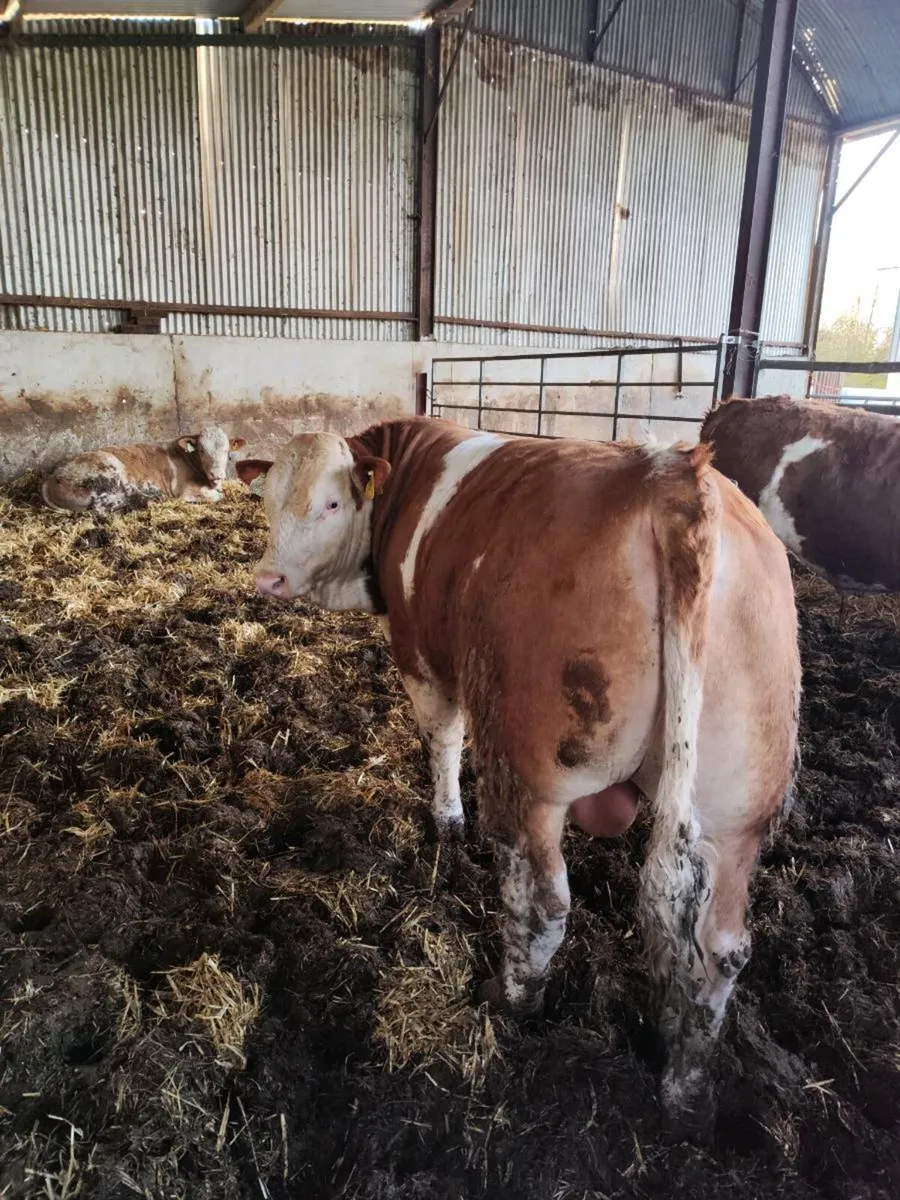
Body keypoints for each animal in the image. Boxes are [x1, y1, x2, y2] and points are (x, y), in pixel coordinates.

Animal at [41, 426, 247, 514]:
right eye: (202, 450)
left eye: (226, 450)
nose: (217, 474)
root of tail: (52, 477)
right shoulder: (185, 490)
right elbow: (217, 496)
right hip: (106, 473)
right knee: (102, 506)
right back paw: (148, 499)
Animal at [236, 417, 800, 1131]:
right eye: (265, 502)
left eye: (332, 503)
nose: (268, 580)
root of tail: (674, 475)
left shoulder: (421, 656)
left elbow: (443, 739)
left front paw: (447, 819)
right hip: (735, 813)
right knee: (720, 947)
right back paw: (685, 1084)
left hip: (526, 774)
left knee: (543, 901)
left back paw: (511, 996)